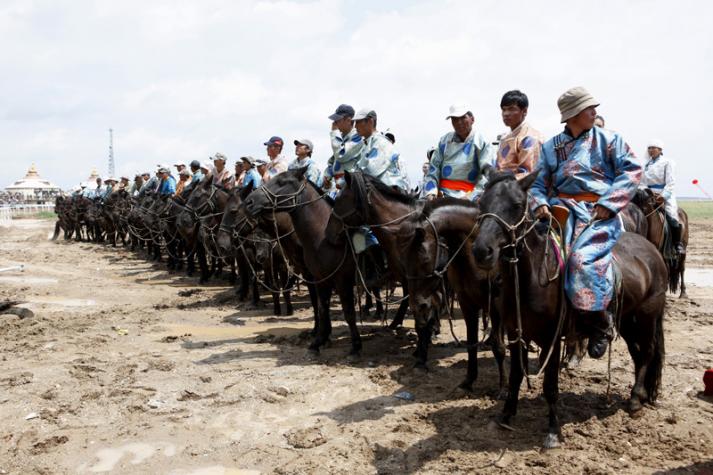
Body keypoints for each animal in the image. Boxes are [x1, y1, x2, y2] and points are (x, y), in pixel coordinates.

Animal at [472, 172, 668, 450]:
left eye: (517, 205)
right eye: (481, 203)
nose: (482, 251)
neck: (532, 277)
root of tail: (652, 251)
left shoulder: (551, 339)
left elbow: (550, 386)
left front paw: (554, 432)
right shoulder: (516, 334)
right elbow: (516, 376)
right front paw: (506, 415)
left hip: (647, 317)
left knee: (649, 352)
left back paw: (635, 400)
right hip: (628, 321)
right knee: (638, 354)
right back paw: (638, 396)